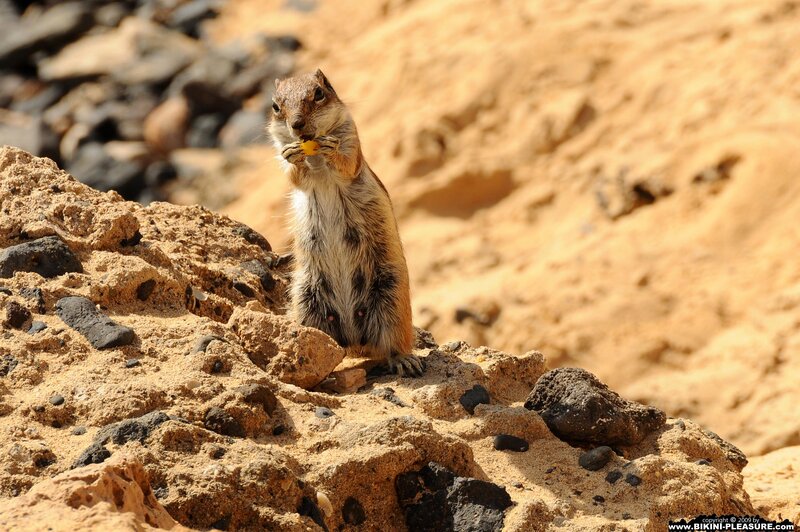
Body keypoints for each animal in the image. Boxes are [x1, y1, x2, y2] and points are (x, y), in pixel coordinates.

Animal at [268, 69, 424, 377]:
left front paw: (332, 150)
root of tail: (354, 340)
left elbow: (347, 162)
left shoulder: (352, 139)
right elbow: (293, 175)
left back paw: (405, 360)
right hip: (306, 301)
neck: (315, 157)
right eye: (275, 106)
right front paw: (294, 156)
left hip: (392, 297)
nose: (297, 125)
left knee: (392, 343)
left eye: (319, 93)